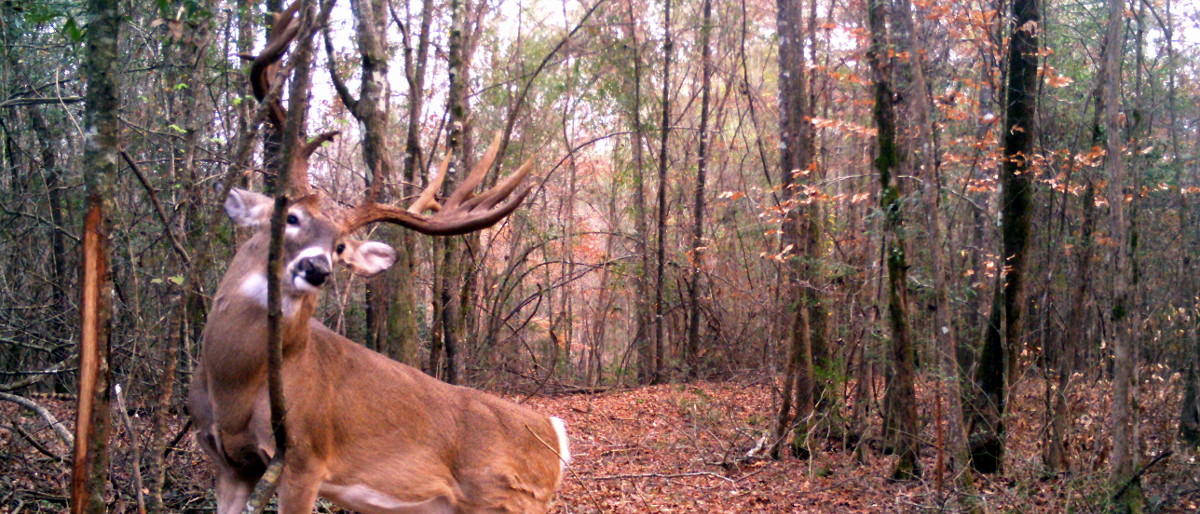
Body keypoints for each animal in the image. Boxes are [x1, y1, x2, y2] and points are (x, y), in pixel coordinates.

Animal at [187, 4, 568, 513]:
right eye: (290, 217)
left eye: (340, 246)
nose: (316, 268)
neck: (232, 385)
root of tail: (554, 436)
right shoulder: (228, 463)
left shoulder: (304, 456)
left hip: (507, 497)